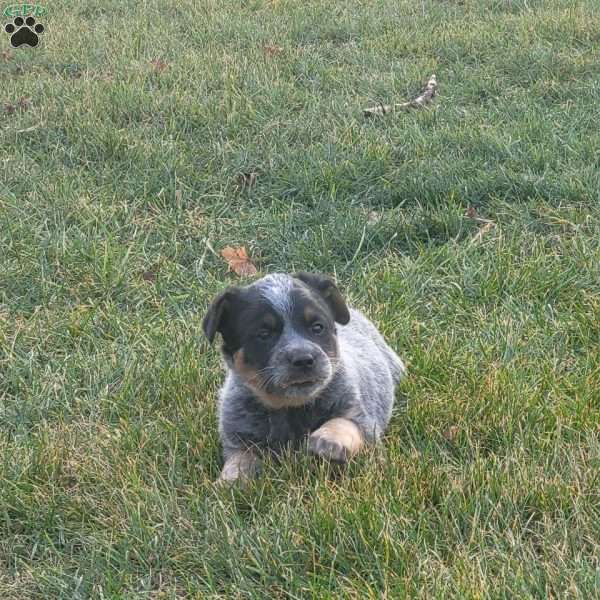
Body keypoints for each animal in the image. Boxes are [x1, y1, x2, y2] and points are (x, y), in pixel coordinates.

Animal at [204, 272, 406, 482]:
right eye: (264, 334)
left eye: (317, 327)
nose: (303, 359)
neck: (291, 409)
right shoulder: (240, 438)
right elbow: (239, 461)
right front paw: (229, 480)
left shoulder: (360, 416)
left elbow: (344, 422)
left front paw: (328, 438)